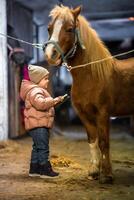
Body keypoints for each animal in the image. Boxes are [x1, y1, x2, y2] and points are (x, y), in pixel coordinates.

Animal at [43, 4, 134, 184]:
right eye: (49, 28)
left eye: (70, 29)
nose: (50, 55)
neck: (92, 76)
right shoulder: (84, 114)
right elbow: (92, 141)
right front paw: (93, 172)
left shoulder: (103, 114)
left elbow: (104, 142)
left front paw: (107, 175)